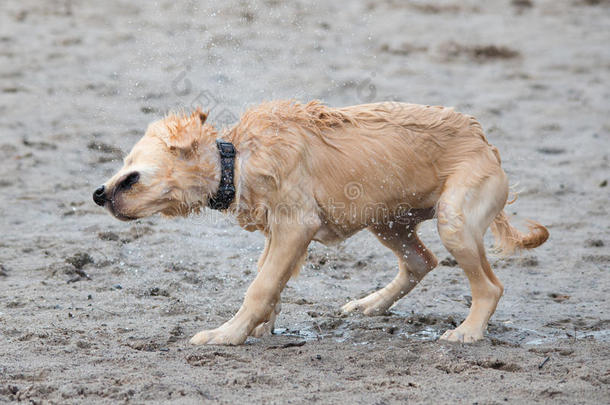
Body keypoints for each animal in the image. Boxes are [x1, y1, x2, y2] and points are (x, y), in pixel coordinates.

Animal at [92, 101, 548, 344]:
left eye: (131, 169)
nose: (98, 193)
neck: (236, 159)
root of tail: (484, 141)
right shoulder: (278, 232)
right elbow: (269, 281)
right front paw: (259, 327)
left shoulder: (297, 225)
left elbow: (260, 287)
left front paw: (227, 334)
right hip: (386, 218)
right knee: (420, 262)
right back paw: (369, 304)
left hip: (454, 217)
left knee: (489, 286)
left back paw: (468, 332)